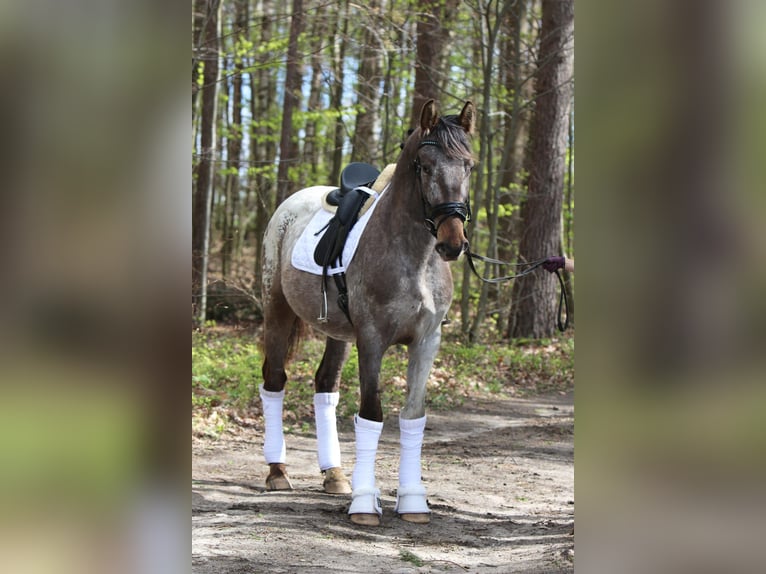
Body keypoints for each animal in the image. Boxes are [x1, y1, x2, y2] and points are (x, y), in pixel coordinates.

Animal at [260, 99, 476, 528]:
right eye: (425, 166)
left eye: (469, 166)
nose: (452, 242)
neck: (415, 256)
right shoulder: (373, 339)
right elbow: (372, 413)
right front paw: (364, 503)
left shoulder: (427, 341)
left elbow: (412, 415)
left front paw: (413, 501)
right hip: (277, 310)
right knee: (274, 380)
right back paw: (277, 472)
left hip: (338, 332)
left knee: (325, 385)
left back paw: (335, 475)